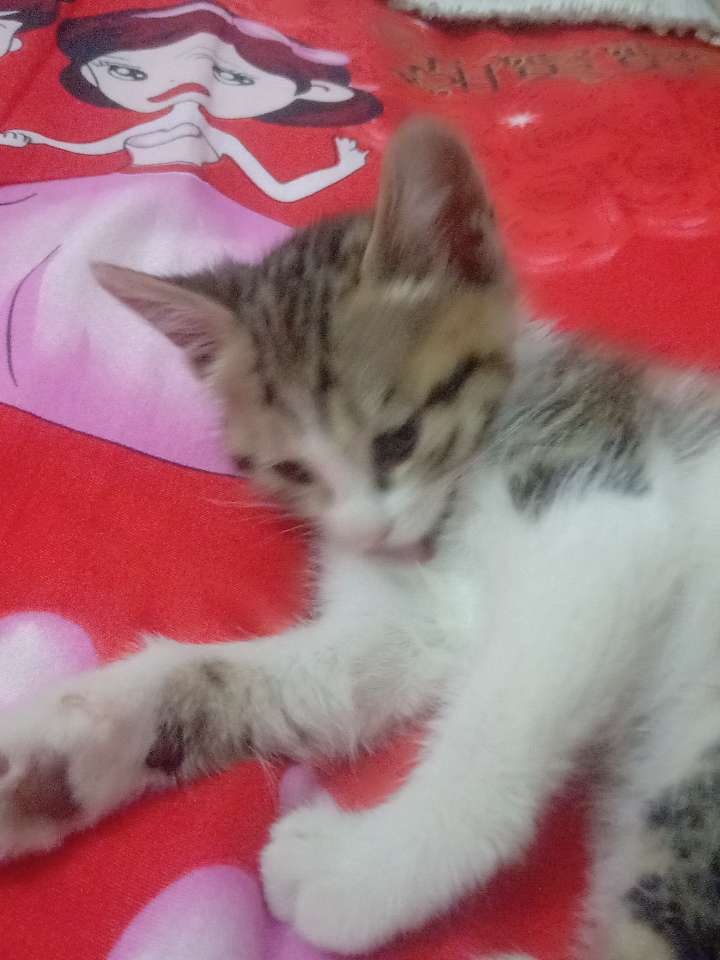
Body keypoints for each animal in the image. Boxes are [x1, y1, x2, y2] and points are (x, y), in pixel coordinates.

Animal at [2, 116, 720, 960]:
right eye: (291, 469)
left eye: (399, 438)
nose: (371, 531)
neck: (444, 520)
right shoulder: (412, 623)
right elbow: (293, 677)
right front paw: (56, 756)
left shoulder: (603, 509)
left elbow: (495, 724)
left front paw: (362, 870)